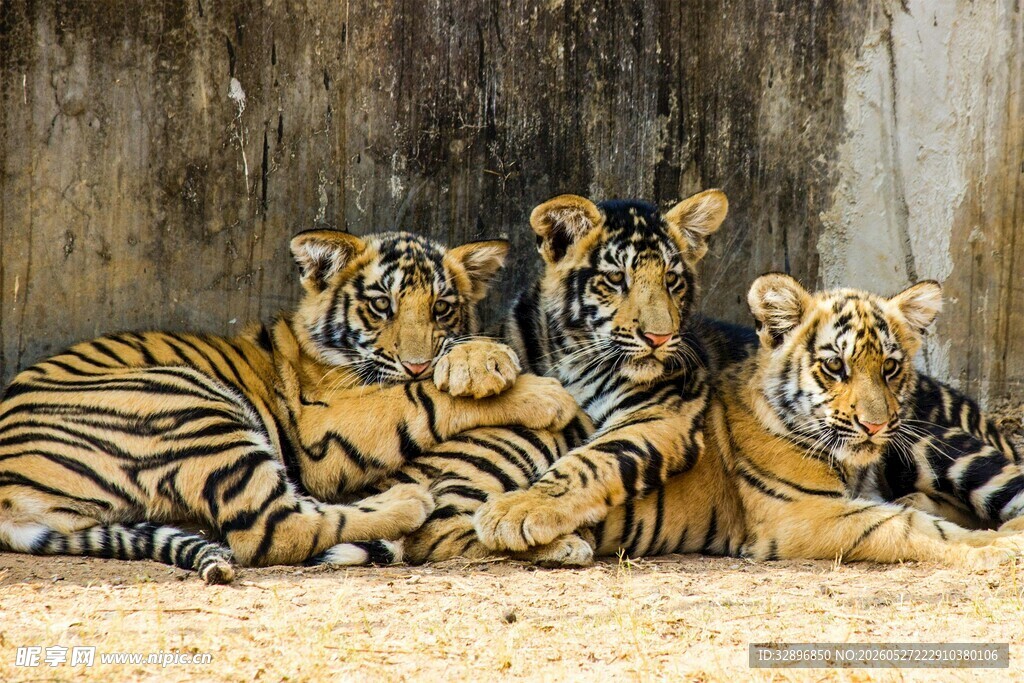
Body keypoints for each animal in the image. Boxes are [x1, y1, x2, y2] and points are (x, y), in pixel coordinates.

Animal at [0, 229, 578, 582]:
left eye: (442, 308)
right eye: (380, 305)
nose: (416, 362)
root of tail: (11, 500)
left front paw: (477, 358)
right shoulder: (326, 428)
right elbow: (420, 399)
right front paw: (543, 394)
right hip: (188, 403)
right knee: (276, 530)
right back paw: (407, 501)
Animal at [364, 189, 739, 565]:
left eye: (671, 281)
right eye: (616, 279)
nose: (659, 338)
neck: (573, 356)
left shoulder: (660, 414)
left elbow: (591, 462)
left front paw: (517, 511)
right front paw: (472, 362)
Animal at [591, 274, 1024, 568]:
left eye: (889, 367)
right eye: (835, 366)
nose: (875, 427)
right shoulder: (802, 514)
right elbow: (909, 527)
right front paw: (996, 546)